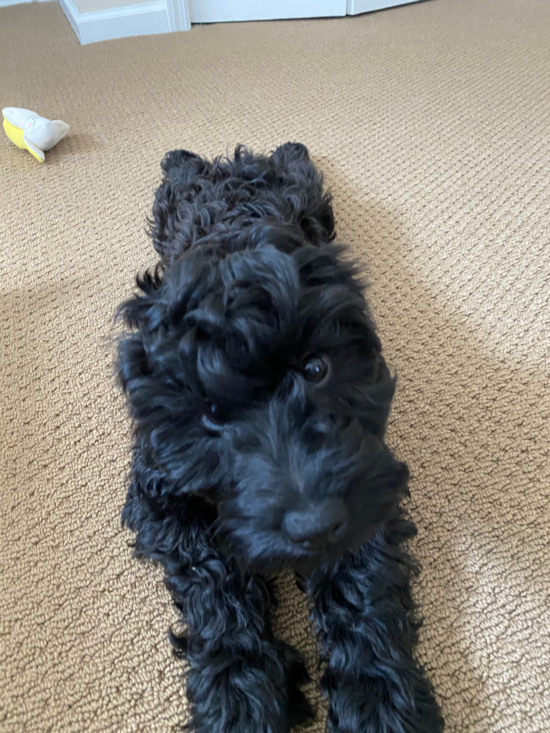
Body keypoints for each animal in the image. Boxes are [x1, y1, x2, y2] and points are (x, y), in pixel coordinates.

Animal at [118, 143, 446, 732]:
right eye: (211, 412)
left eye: (316, 368)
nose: (313, 525)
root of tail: (232, 160)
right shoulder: (159, 492)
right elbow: (214, 584)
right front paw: (239, 699)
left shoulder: (362, 476)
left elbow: (362, 589)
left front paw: (381, 703)